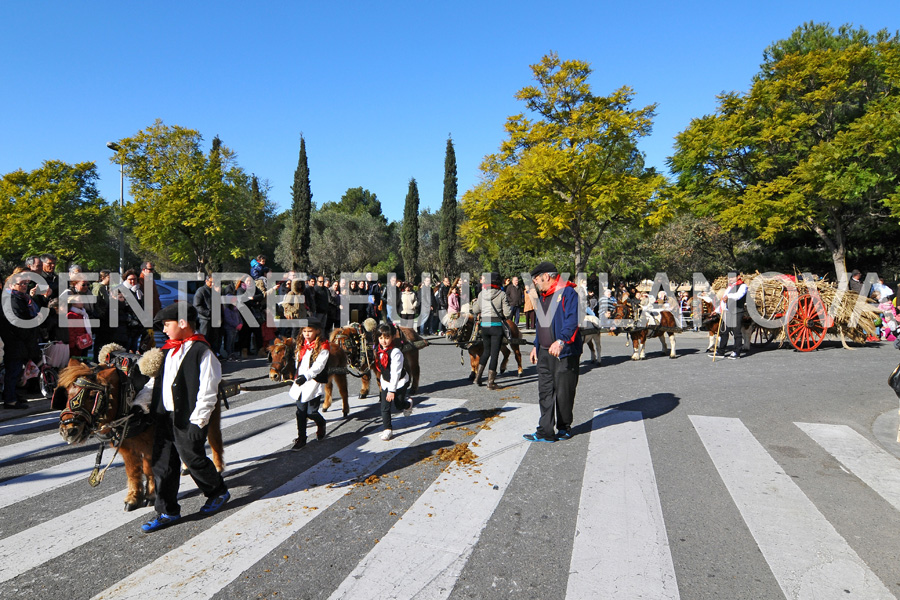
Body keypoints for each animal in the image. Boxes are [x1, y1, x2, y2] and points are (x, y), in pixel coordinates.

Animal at [54, 354, 225, 512]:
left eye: (91, 396)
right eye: (67, 392)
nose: (68, 430)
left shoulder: (151, 444)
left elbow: (148, 468)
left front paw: (150, 496)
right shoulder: (126, 447)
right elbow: (133, 471)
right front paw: (133, 498)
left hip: (210, 414)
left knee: (214, 440)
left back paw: (218, 467)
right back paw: (185, 467)